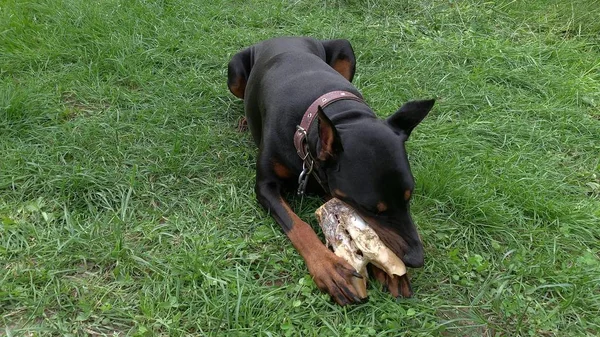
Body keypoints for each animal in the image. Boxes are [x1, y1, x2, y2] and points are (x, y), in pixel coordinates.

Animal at [227, 36, 434, 304]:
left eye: (410, 196)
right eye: (371, 209)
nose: (416, 259)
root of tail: (282, 36)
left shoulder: (325, 180)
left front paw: (389, 271)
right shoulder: (265, 186)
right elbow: (299, 226)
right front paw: (329, 268)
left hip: (345, 48)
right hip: (234, 71)